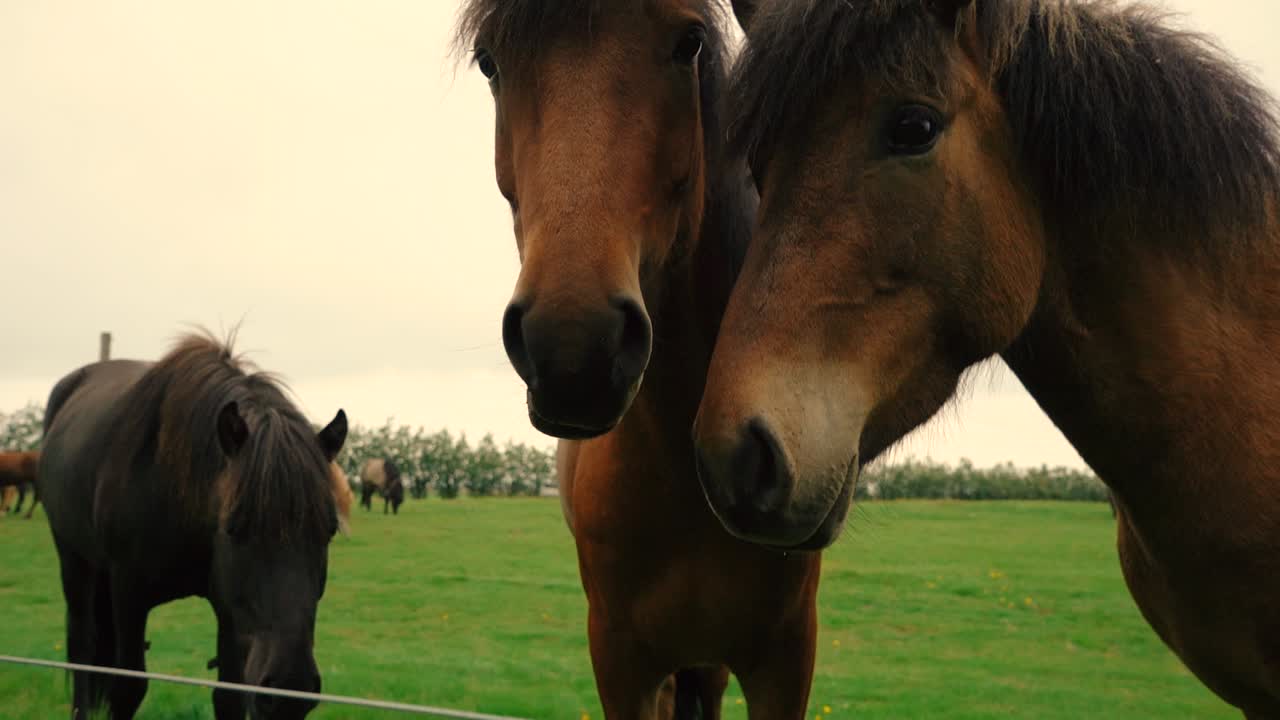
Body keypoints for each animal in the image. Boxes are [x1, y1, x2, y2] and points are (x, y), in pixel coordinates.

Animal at [39, 332, 348, 719]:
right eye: (233, 527)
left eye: (329, 530)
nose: (289, 688)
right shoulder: (128, 592)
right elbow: (127, 687)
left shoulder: (228, 607)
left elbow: (229, 696)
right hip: (74, 560)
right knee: (82, 647)